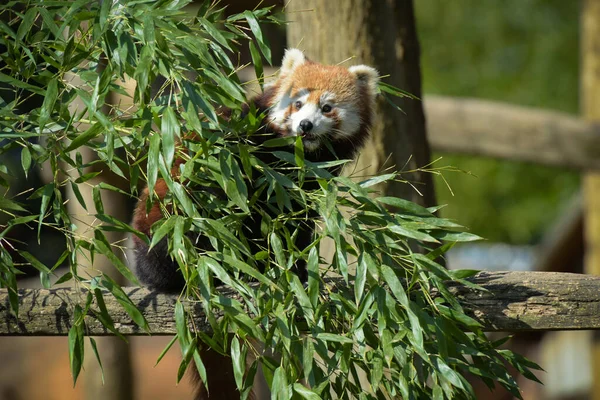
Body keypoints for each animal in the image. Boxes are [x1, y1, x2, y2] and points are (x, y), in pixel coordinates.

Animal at [131, 48, 378, 398]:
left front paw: (297, 270)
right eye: (297, 103)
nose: (305, 125)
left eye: (327, 107)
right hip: (169, 221)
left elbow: (295, 228)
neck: (297, 156)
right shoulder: (246, 151)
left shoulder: (307, 188)